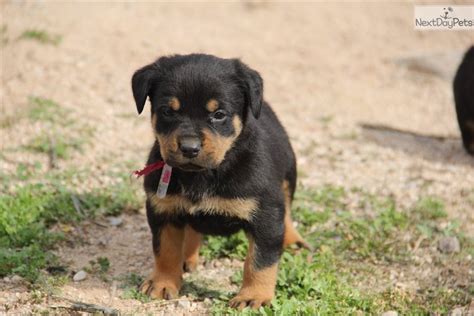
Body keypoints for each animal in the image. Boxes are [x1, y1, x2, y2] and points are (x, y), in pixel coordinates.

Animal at [131, 54, 308, 308]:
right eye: (168, 111)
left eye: (219, 114)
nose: (189, 148)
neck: (203, 174)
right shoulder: (163, 210)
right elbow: (165, 250)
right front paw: (162, 283)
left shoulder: (266, 214)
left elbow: (260, 261)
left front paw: (253, 296)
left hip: (288, 174)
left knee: (288, 211)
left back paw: (293, 241)